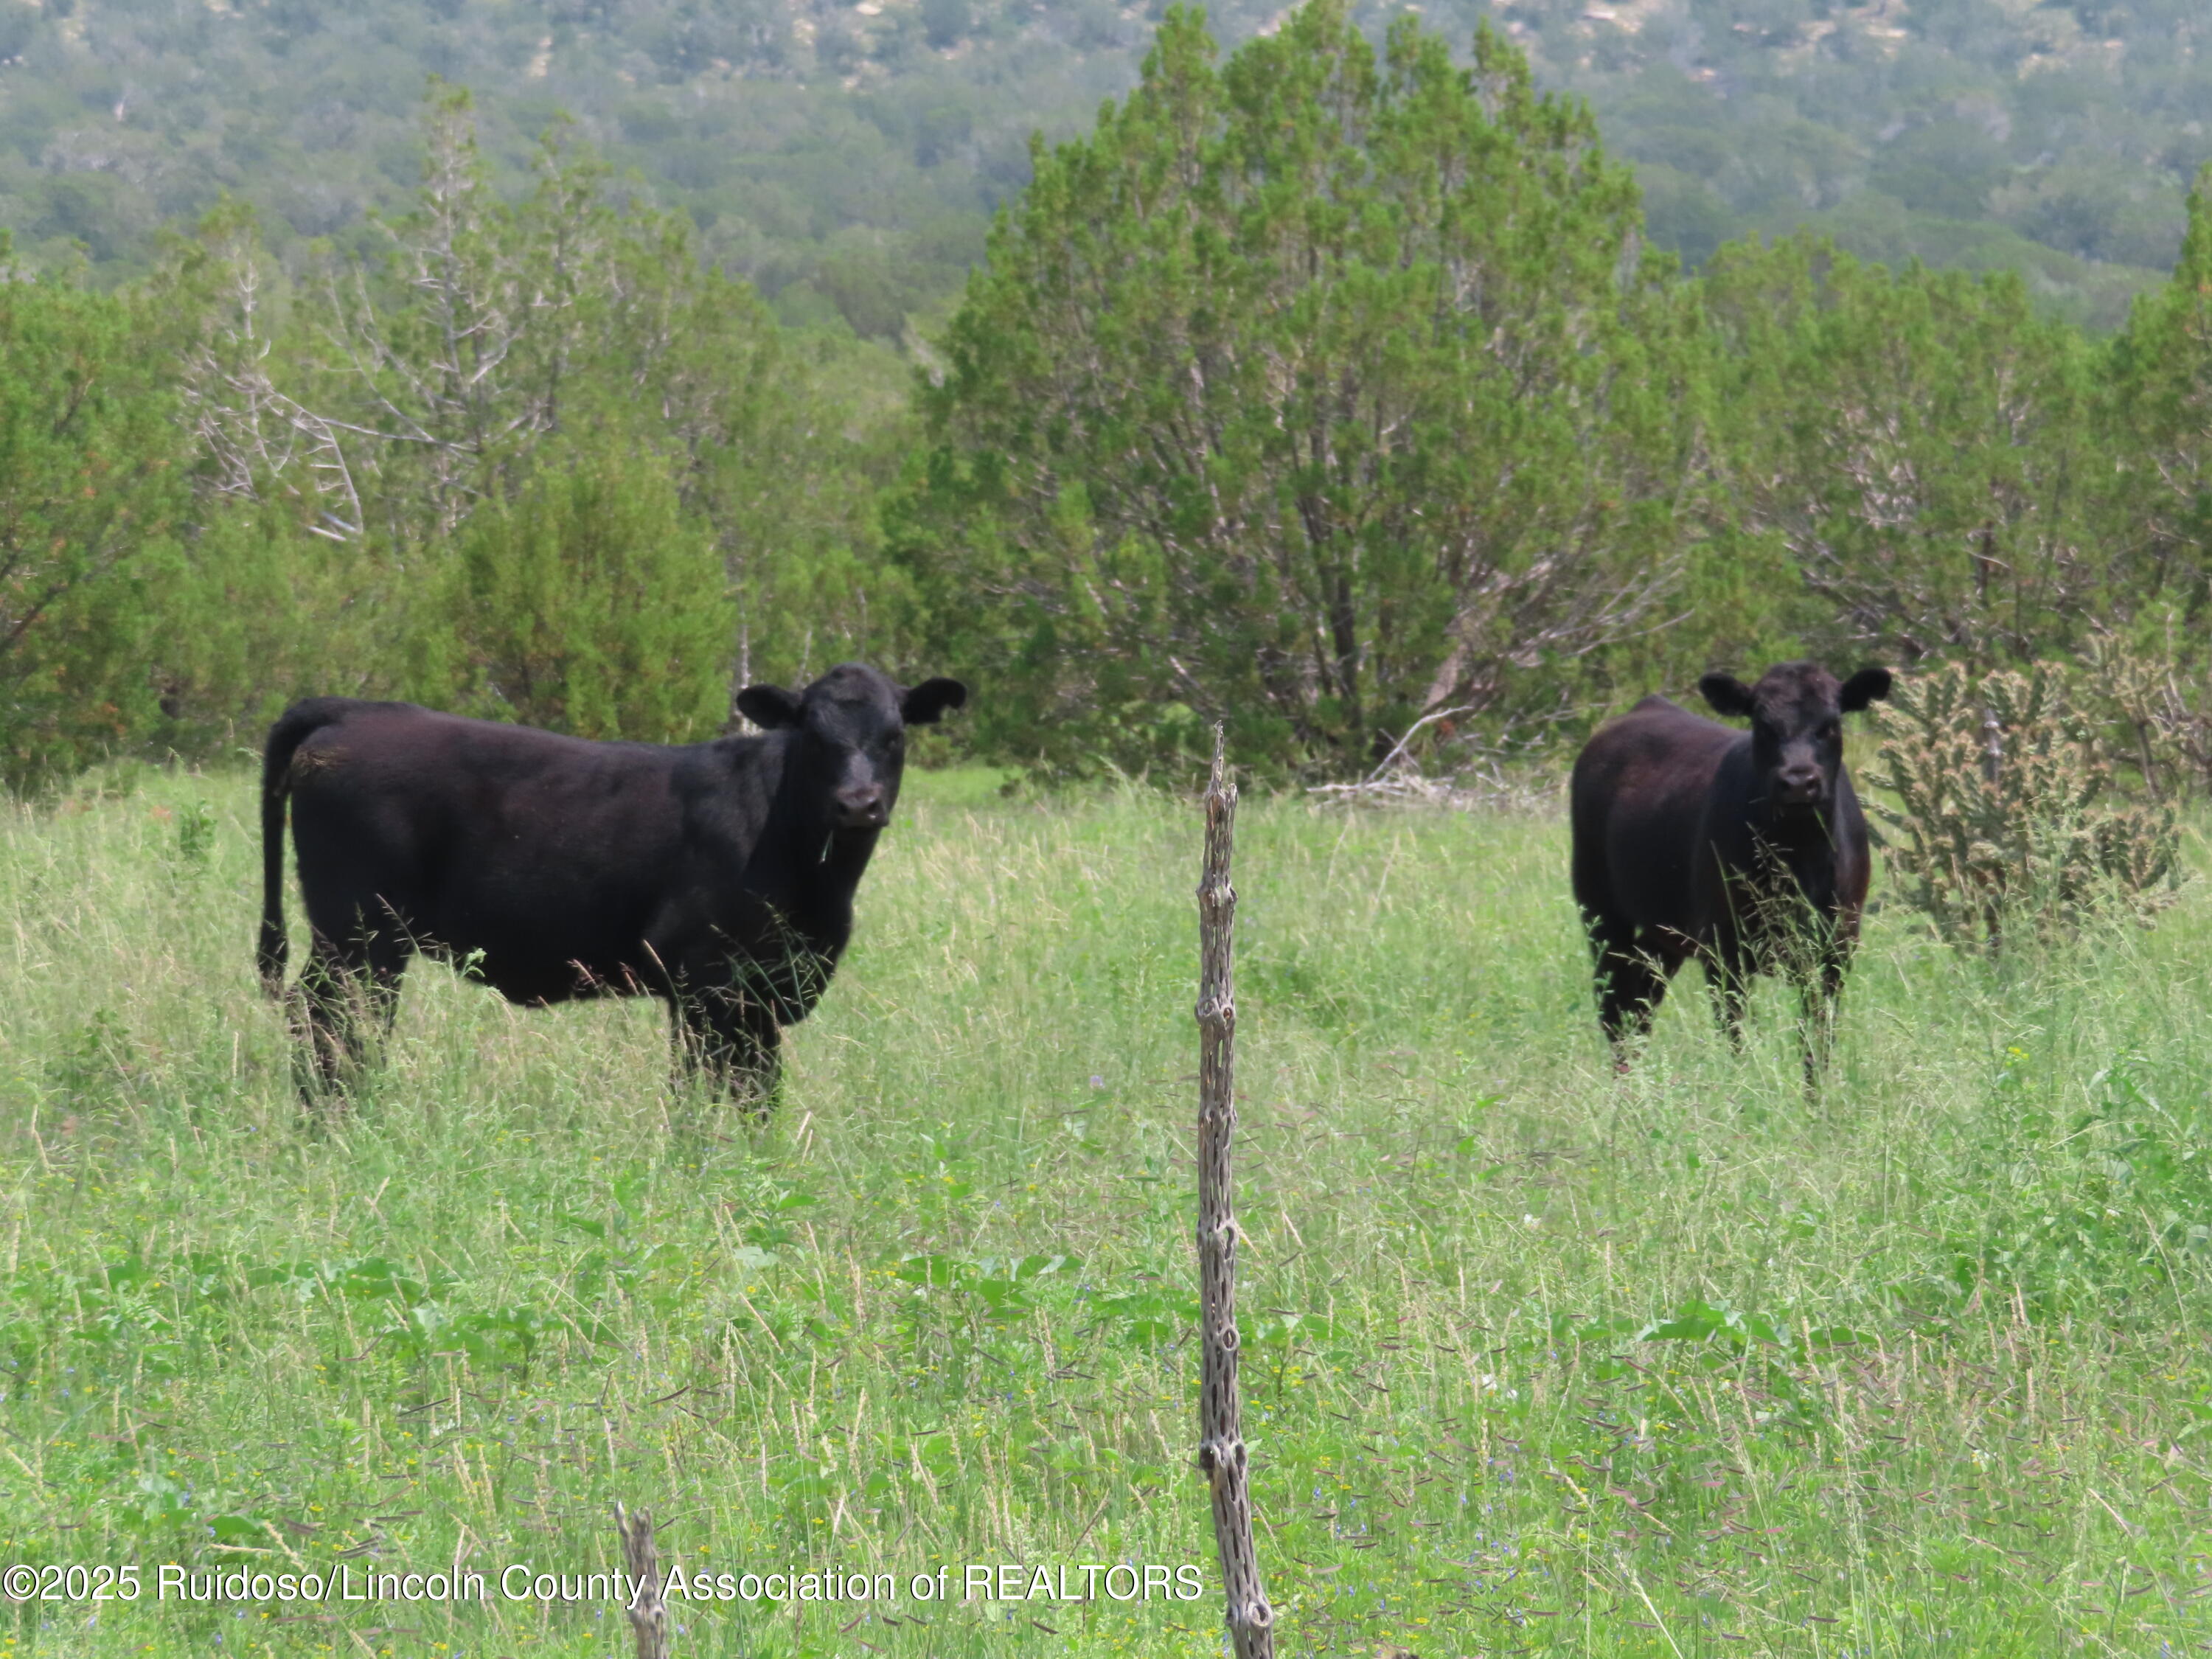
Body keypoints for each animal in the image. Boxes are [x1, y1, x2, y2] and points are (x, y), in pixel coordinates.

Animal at [254, 659, 964, 1106]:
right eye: (813, 736)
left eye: (894, 735)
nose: (858, 804)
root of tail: (351, 710)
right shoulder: (704, 980)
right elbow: (700, 1092)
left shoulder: (764, 994)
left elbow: (759, 1094)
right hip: (357, 933)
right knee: (332, 1019)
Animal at [1566, 664, 1893, 1079]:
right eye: (1762, 725)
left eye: (1831, 724)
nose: (1798, 782)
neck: (1799, 859)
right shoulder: (1725, 950)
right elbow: (1737, 1039)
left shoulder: (1836, 947)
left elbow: (1816, 1041)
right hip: (1599, 909)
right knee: (1615, 1008)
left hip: (1664, 933)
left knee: (1642, 1002)